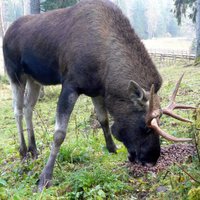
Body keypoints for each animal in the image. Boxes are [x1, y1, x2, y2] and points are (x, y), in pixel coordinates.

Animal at [2, 0, 195, 191]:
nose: (151, 160)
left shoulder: (96, 90)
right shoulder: (70, 85)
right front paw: (45, 177)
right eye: (146, 127)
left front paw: (112, 148)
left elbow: (104, 120)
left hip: (34, 79)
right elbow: (59, 134)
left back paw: (33, 149)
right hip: (15, 74)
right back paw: (23, 151)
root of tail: (6, 33)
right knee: (17, 110)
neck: (105, 68)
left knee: (29, 108)